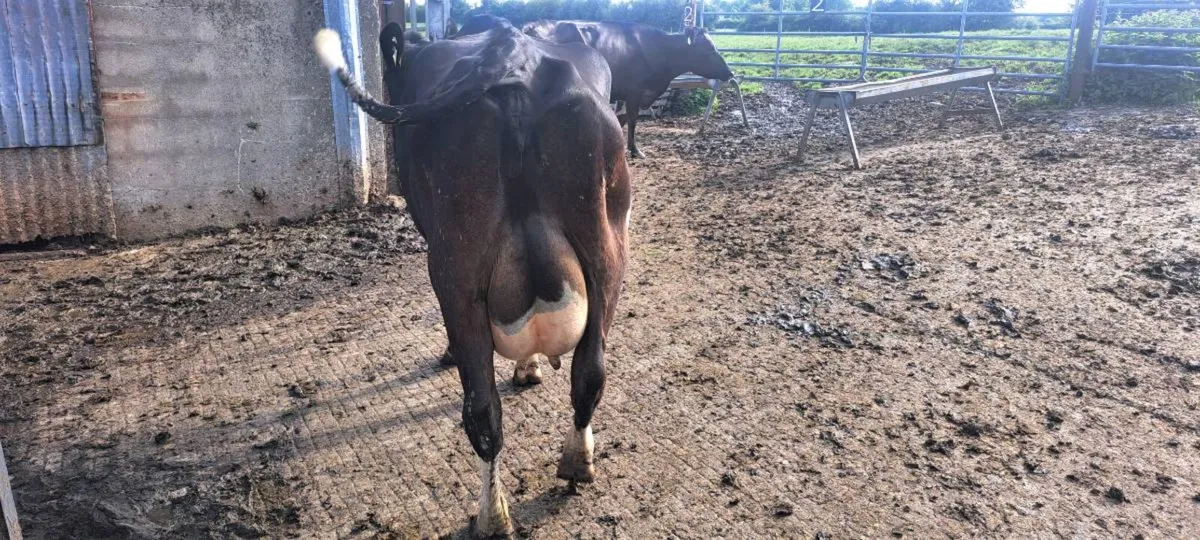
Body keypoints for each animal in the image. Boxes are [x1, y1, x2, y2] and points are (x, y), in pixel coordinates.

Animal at [315, 18, 631, 538]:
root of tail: (512, 54)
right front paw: (529, 368)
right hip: (607, 246)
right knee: (590, 372)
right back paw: (577, 462)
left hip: (454, 264)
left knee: (482, 410)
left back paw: (491, 516)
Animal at [523, 20, 735, 158]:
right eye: (708, 49)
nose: (729, 72)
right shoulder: (635, 92)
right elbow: (632, 120)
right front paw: (635, 150)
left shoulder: (623, 95)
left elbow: (621, 118)